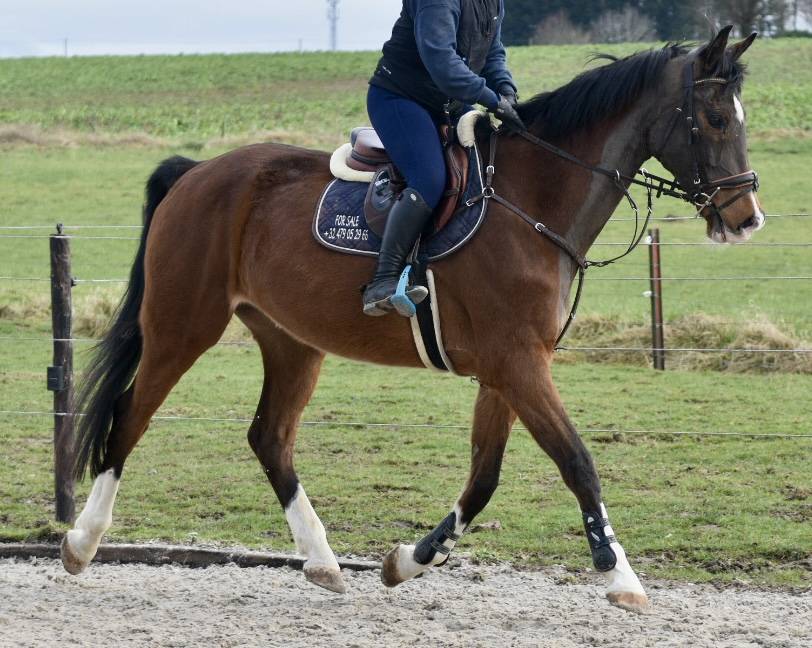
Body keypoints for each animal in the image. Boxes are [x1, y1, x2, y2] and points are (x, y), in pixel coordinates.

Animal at [61, 27, 762, 612]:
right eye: (714, 118)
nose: (746, 217)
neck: (532, 202)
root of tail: (197, 173)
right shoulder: (518, 363)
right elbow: (576, 461)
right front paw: (620, 576)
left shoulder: (506, 370)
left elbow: (483, 478)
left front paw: (407, 561)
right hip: (182, 326)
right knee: (130, 415)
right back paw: (82, 541)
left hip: (291, 341)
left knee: (269, 437)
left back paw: (322, 562)